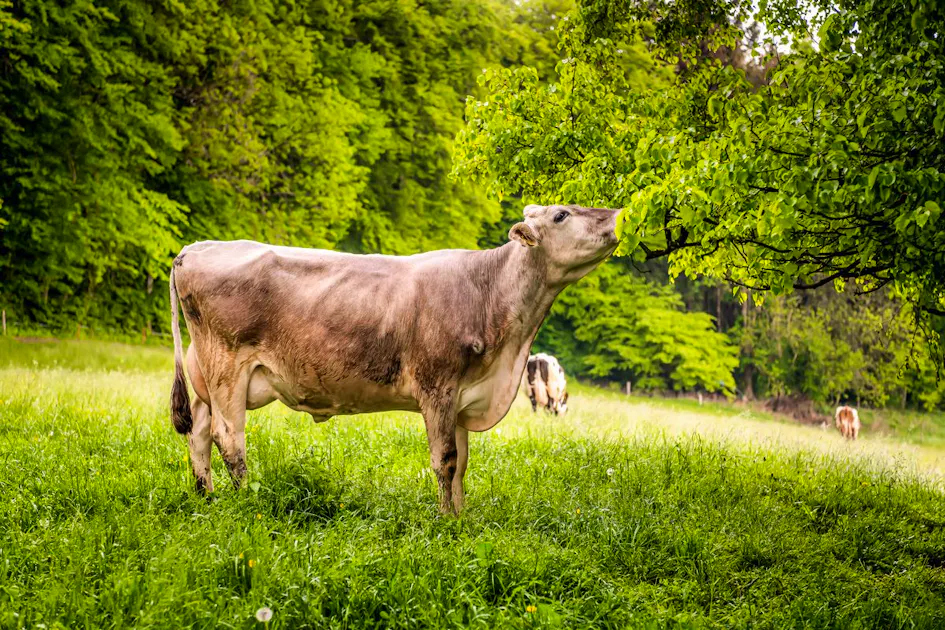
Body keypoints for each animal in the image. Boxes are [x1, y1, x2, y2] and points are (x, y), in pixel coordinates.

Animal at [169, 204, 618, 513]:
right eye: (561, 214)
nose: (617, 215)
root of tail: (197, 246)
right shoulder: (438, 388)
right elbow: (446, 461)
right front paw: (445, 521)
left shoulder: (464, 396)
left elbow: (463, 463)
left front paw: (461, 517)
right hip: (228, 367)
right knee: (229, 438)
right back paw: (249, 502)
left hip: (208, 374)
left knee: (199, 433)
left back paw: (207, 499)